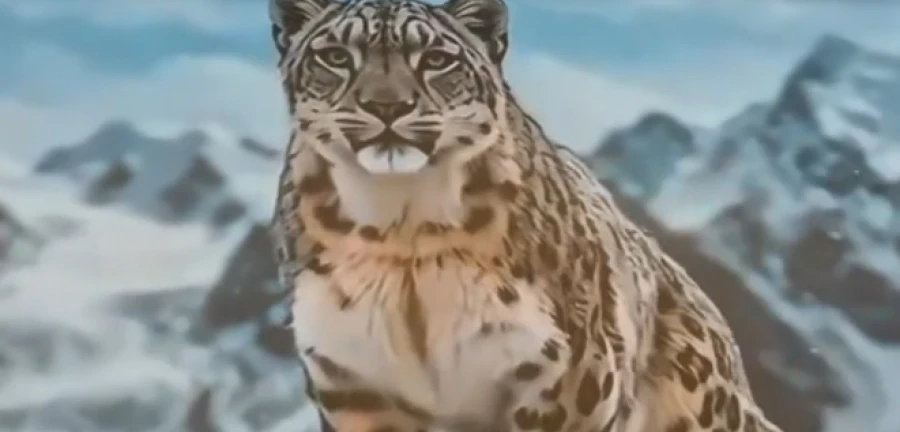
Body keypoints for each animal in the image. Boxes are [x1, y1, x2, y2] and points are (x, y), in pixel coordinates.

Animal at [266, 0, 785, 431]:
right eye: (335, 56)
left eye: (436, 59)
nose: (387, 105)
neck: (401, 226)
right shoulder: (355, 385)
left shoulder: (568, 378)